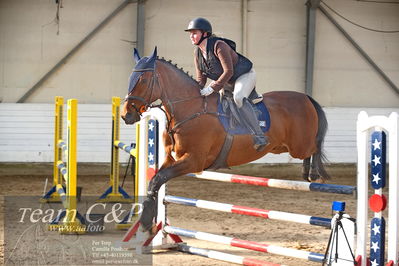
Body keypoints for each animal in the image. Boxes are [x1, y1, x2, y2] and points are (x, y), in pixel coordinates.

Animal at [122, 47, 332, 233]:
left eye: (142, 80)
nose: (126, 115)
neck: (190, 108)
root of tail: (305, 97)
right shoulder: (171, 159)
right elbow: (154, 181)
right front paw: (147, 220)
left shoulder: (193, 161)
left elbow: (158, 179)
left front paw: (146, 221)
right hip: (282, 146)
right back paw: (307, 173)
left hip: (299, 145)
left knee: (315, 147)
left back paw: (313, 174)